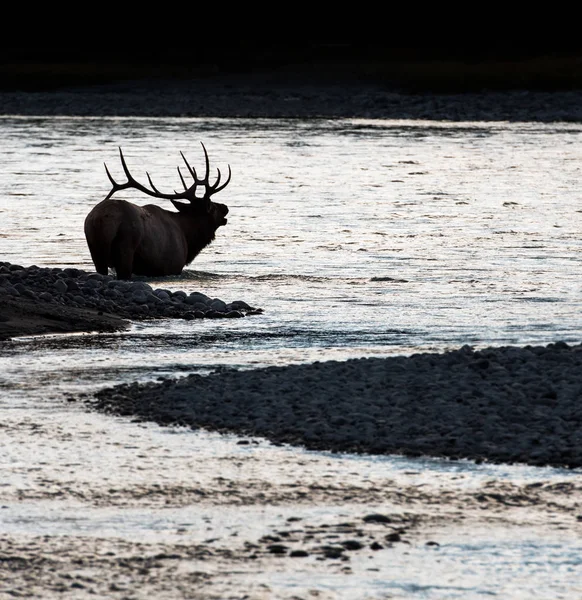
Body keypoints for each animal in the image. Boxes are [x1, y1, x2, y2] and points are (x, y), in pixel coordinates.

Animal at [84, 143, 230, 278]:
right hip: (126, 247)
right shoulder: (173, 266)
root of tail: (99, 219)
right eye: (212, 207)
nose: (225, 207)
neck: (188, 237)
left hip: (95, 250)